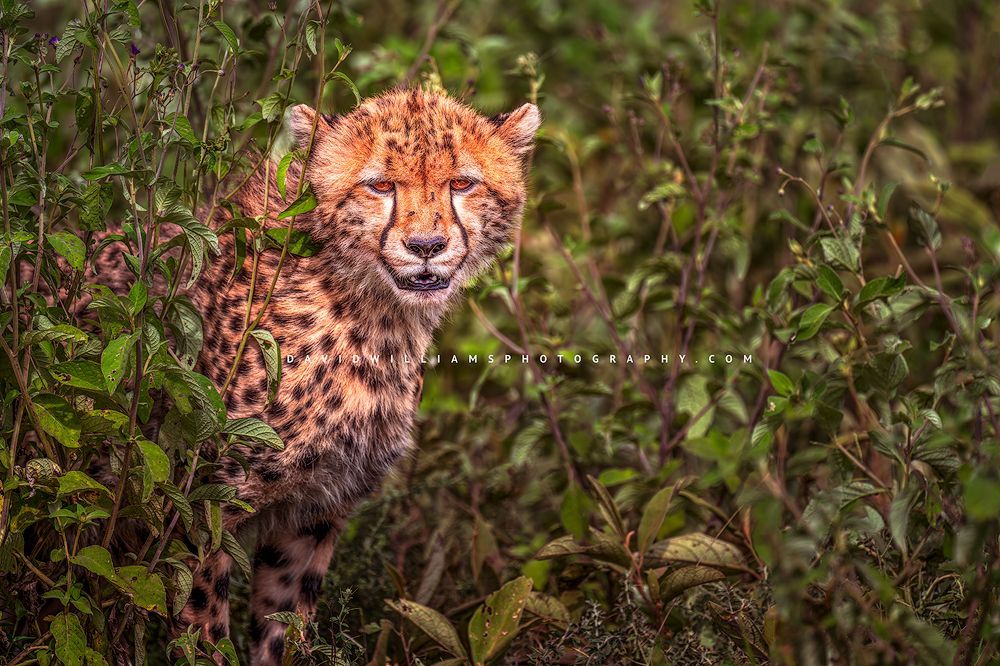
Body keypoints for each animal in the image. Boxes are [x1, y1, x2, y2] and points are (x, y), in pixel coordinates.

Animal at [148, 88, 540, 663]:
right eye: (380, 185)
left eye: (462, 183)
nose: (427, 246)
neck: (370, 311)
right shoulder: (201, 507)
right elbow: (202, 628)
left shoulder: (314, 509)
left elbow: (286, 626)